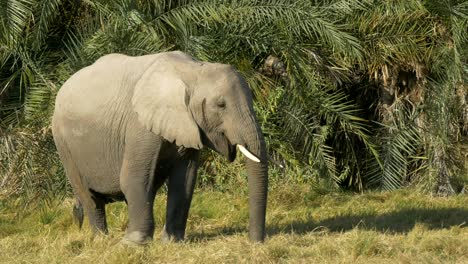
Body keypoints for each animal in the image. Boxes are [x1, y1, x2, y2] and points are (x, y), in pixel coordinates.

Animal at [50, 50, 266, 244]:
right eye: (221, 105)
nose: (254, 242)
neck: (193, 70)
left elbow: (185, 180)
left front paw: (173, 242)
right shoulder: (139, 126)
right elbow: (132, 178)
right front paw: (132, 245)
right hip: (63, 144)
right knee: (89, 197)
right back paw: (102, 241)